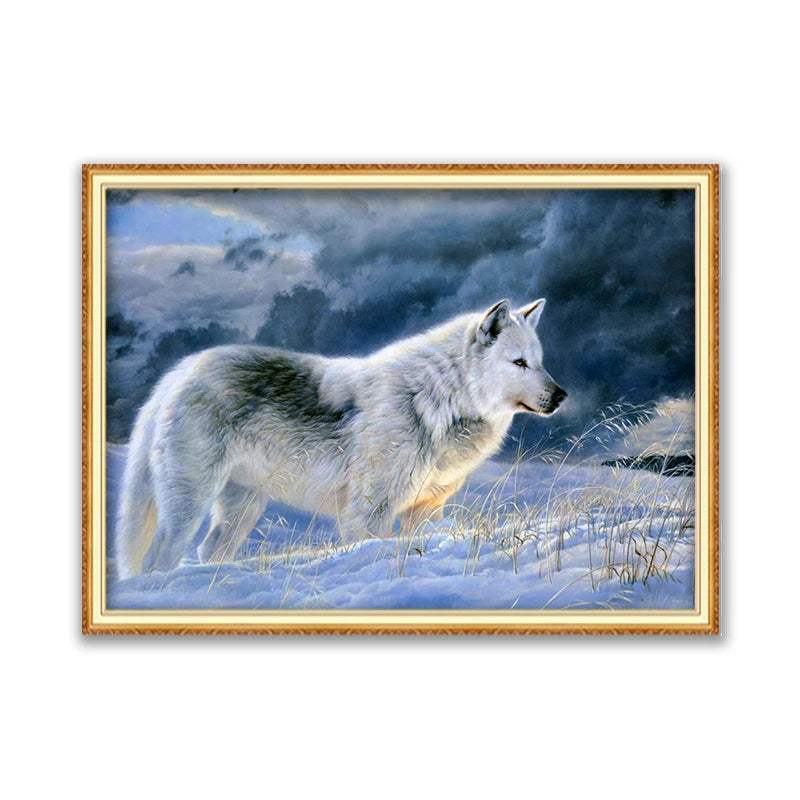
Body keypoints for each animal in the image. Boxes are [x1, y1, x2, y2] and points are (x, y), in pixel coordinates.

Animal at [116, 299, 566, 578]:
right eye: (519, 363)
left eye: (540, 362)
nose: (561, 395)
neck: (438, 400)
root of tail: (180, 371)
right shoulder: (367, 513)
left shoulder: (426, 510)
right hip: (189, 505)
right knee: (158, 559)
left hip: (241, 509)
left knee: (208, 553)